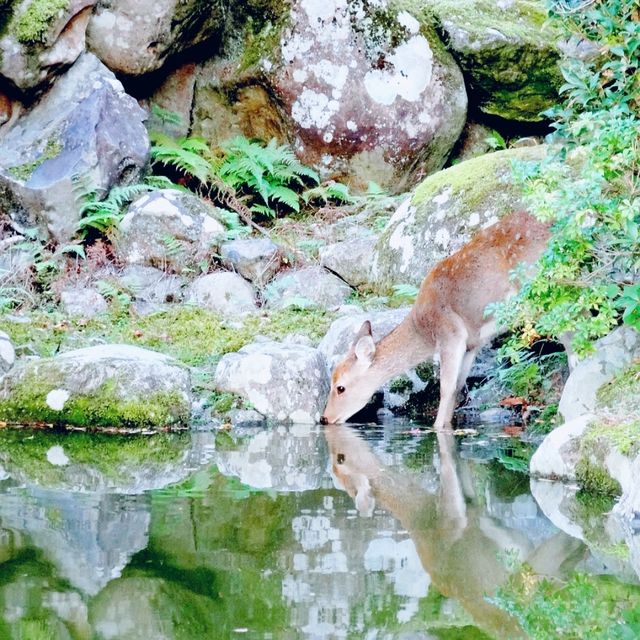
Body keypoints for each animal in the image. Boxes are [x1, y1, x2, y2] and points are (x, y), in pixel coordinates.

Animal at [320, 211, 552, 430]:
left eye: (340, 387)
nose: (325, 418)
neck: (424, 330)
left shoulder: (451, 335)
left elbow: (446, 388)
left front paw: (437, 428)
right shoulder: (472, 344)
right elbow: (458, 387)